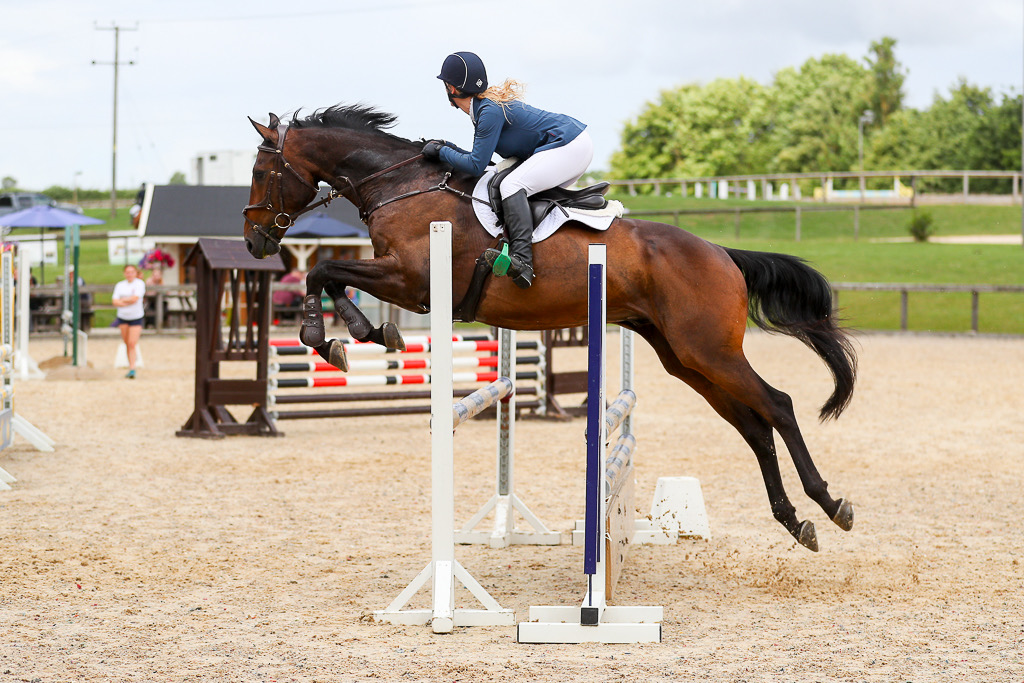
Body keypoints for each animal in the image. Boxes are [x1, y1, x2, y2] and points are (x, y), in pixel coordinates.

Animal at [245, 104, 856, 552]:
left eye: (259, 172)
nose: (254, 242)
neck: (401, 186)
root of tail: (722, 254)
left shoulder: (412, 280)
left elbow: (324, 269)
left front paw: (333, 337)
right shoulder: (402, 280)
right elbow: (329, 274)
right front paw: (350, 338)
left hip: (710, 351)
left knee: (778, 406)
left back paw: (830, 504)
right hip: (685, 358)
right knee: (753, 426)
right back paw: (794, 520)